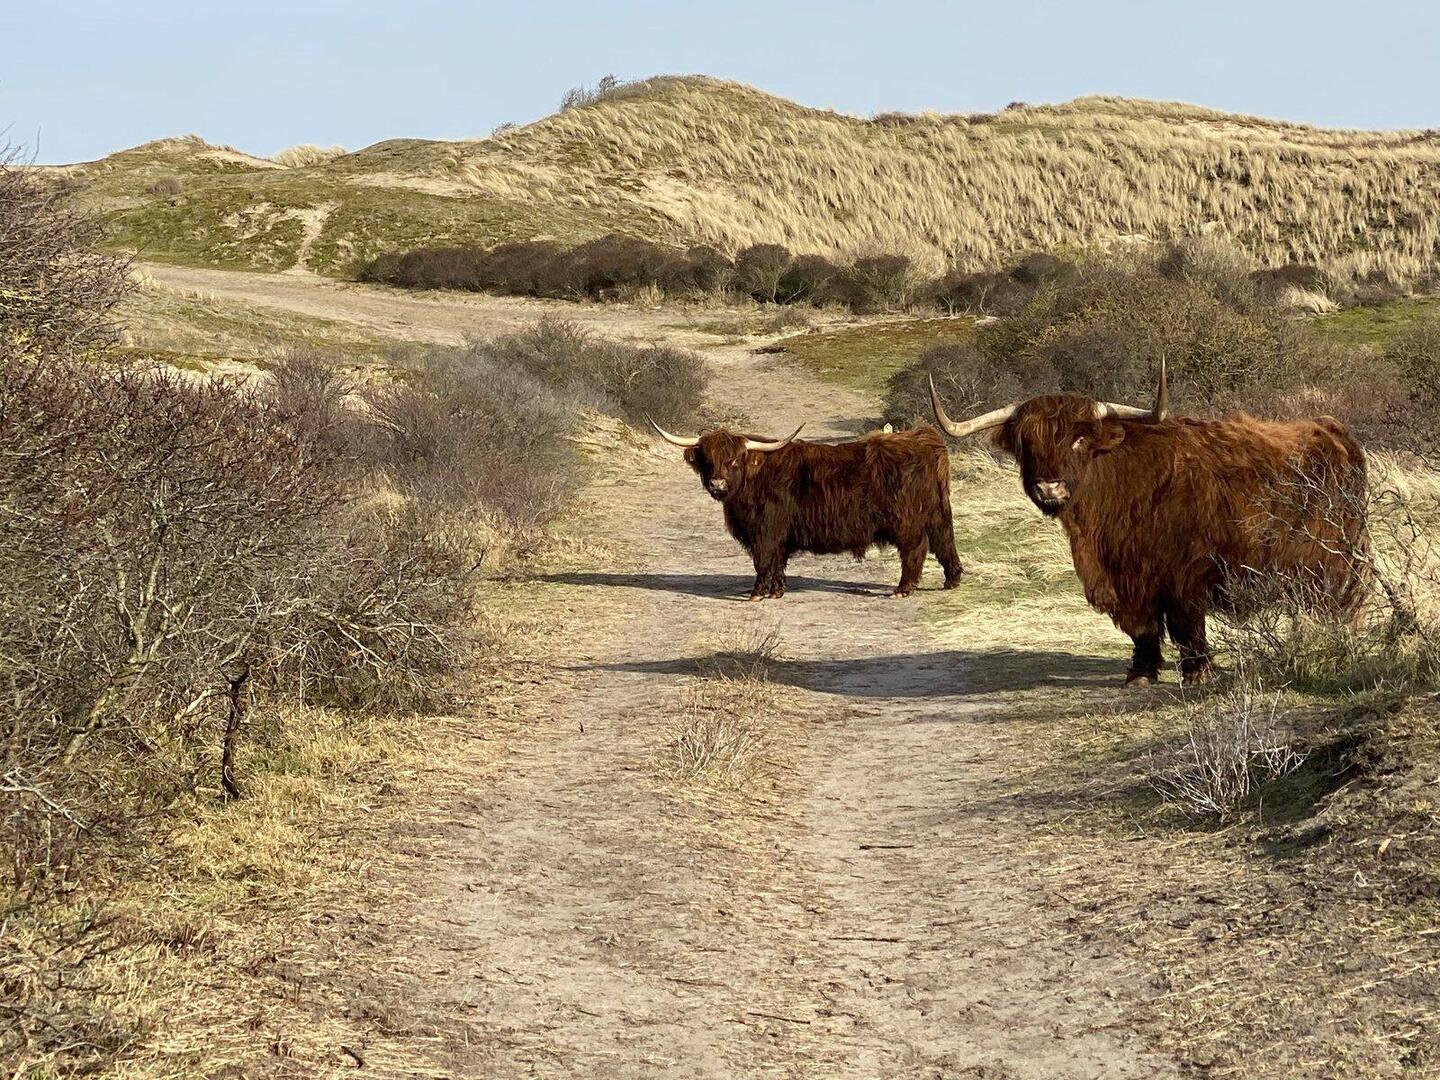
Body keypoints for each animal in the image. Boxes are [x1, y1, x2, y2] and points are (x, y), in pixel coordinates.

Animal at [647, 417, 965, 600]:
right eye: (708, 460)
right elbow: (777, 563)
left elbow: (763, 562)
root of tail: (924, 438)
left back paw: (902, 589)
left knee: (915, 549)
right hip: (937, 514)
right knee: (945, 542)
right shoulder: (777, 536)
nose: (717, 484)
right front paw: (776, 592)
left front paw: (757, 594)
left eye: (733, 461)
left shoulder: (765, 531)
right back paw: (951, 581)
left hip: (907, 522)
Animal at [929, 363, 1369, 685]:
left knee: (1342, 603)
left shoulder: (1186, 574)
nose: (1048, 485)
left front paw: (1198, 673)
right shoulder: (1126, 580)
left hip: (1337, 561)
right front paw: (1140, 673)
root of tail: (1333, 430)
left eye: (1079, 440)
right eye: (1027, 443)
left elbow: (1186, 624)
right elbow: (1141, 628)